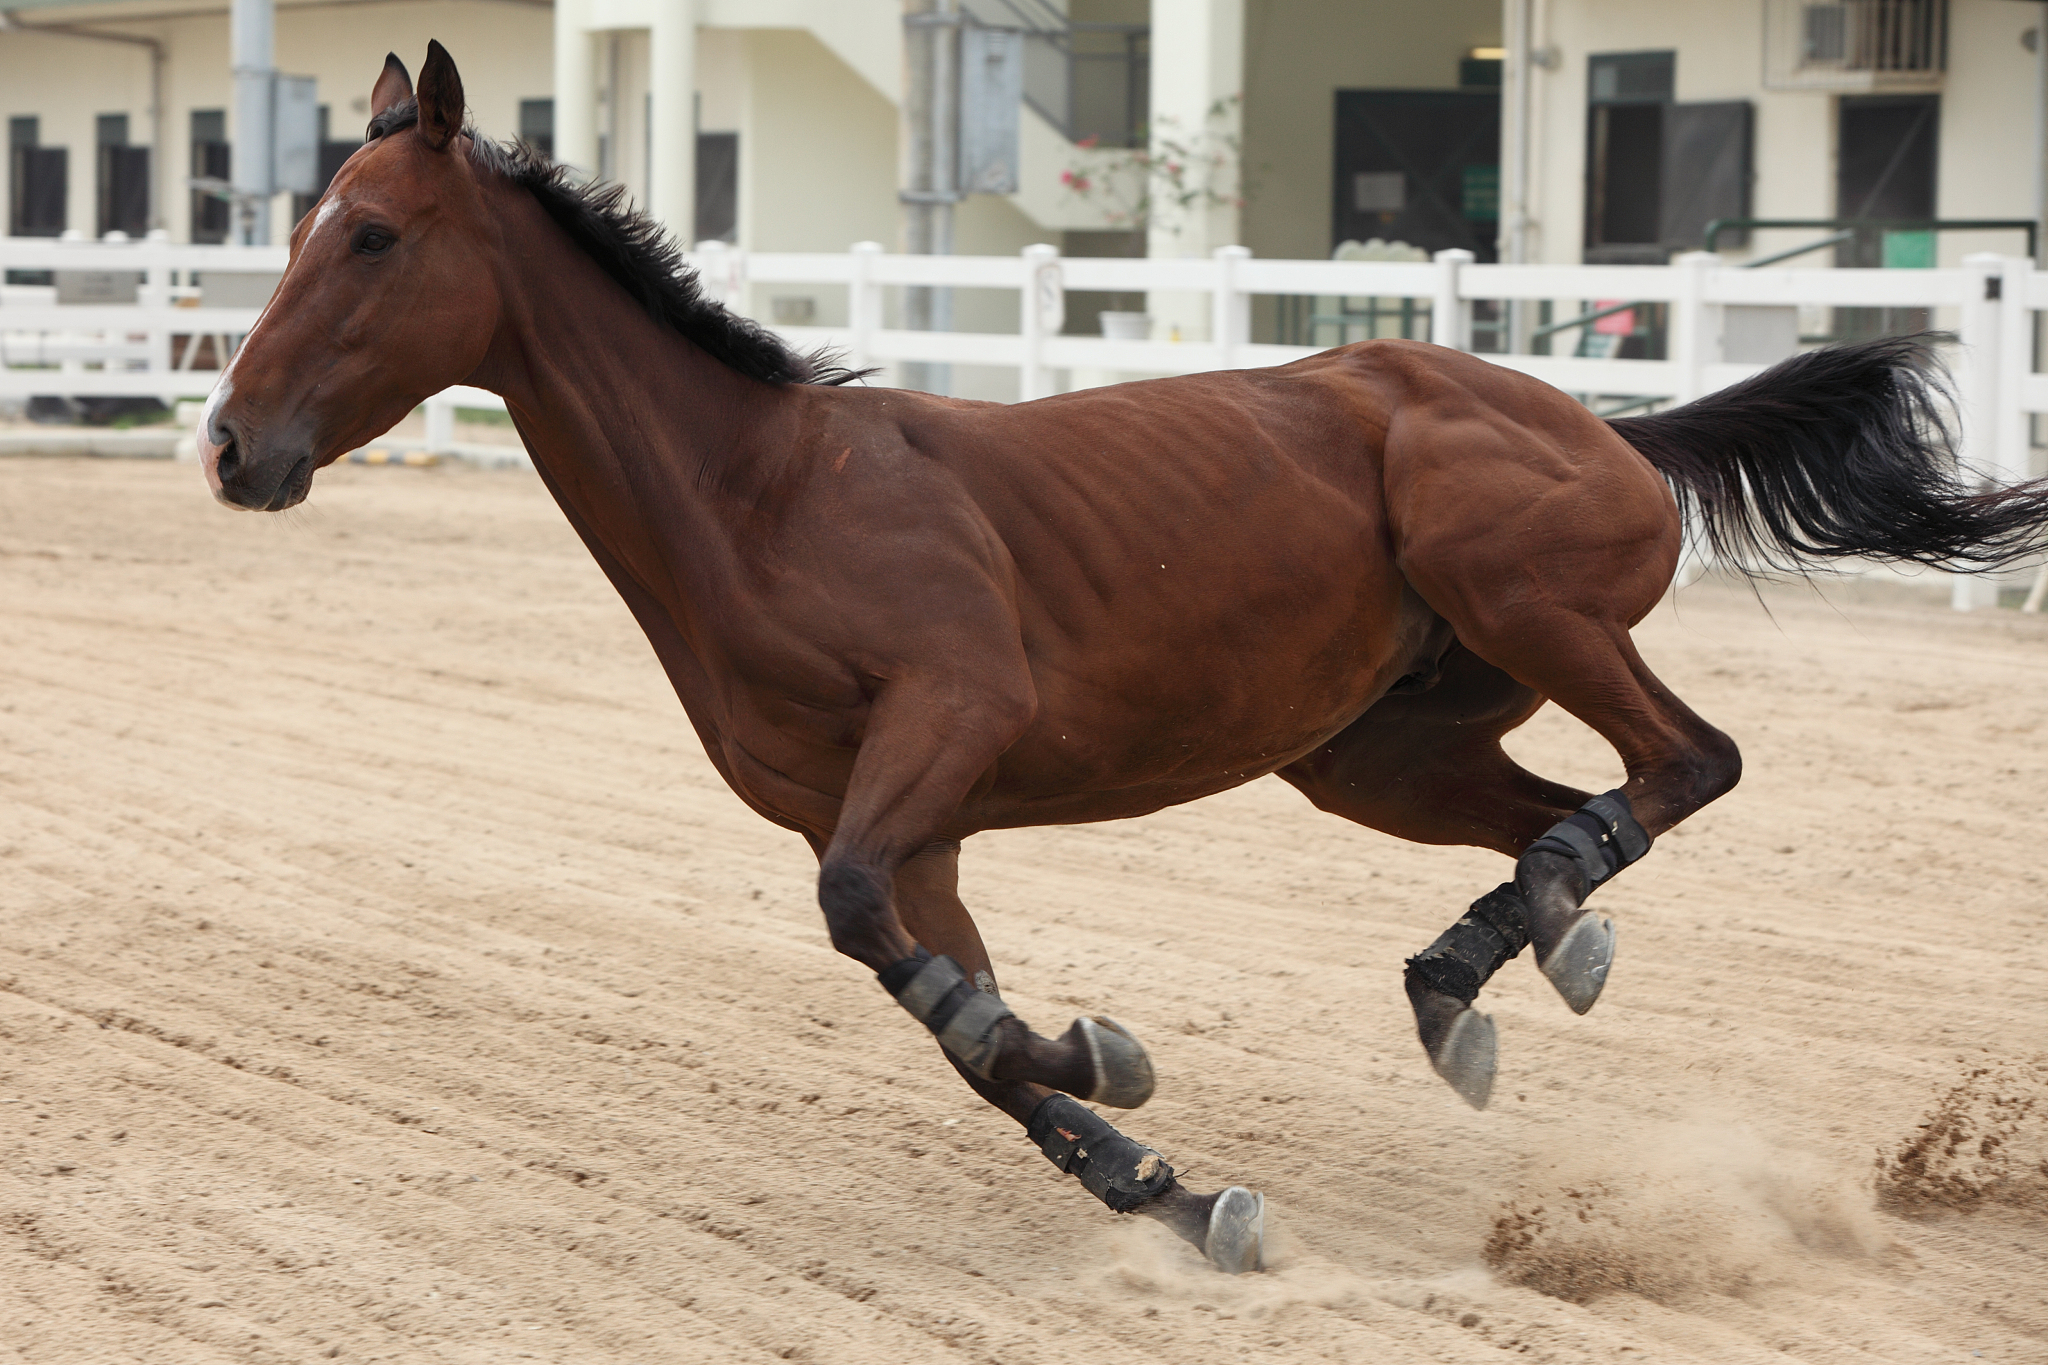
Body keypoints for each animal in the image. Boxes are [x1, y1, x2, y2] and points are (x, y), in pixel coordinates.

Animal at [194, 42, 2048, 1274]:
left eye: (368, 236)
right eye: (292, 228)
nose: (226, 447)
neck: (766, 497)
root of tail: (1606, 427)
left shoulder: (945, 727)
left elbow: (878, 935)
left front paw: (1110, 1068)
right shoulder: (900, 823)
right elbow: (940, 1001)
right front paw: (1160, 1173)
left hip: (1518, 590)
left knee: (1684, 760)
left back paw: (1533, 931)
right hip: (1372, 750)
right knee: (1551, 816)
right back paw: (1487, 962)